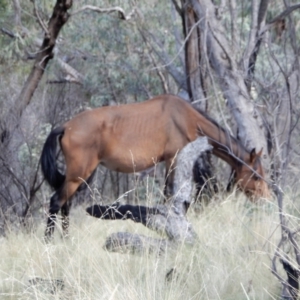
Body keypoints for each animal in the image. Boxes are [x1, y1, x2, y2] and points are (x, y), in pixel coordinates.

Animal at [41, 94, 270, 239]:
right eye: (256, 176)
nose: (266, 200)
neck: (186, 118)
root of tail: (66, 127)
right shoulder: (173, 159)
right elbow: (170, 195)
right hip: (78, 175)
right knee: (56, 202)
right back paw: (49, 241)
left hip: (79, 177)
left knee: (65, 205)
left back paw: (67, 239)